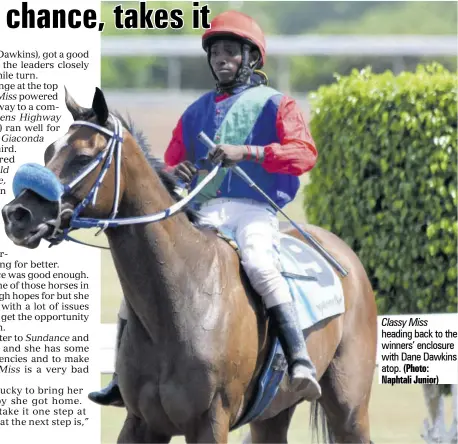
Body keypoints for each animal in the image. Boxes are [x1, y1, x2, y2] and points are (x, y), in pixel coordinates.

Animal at [1, 87, 378, 444]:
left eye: (82, 157)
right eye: (49, 151)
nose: (17, 215)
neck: (181, 297)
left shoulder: (210, 422)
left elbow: (301, 149)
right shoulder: (141, 424)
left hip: (349, 408)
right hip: (272, 414)